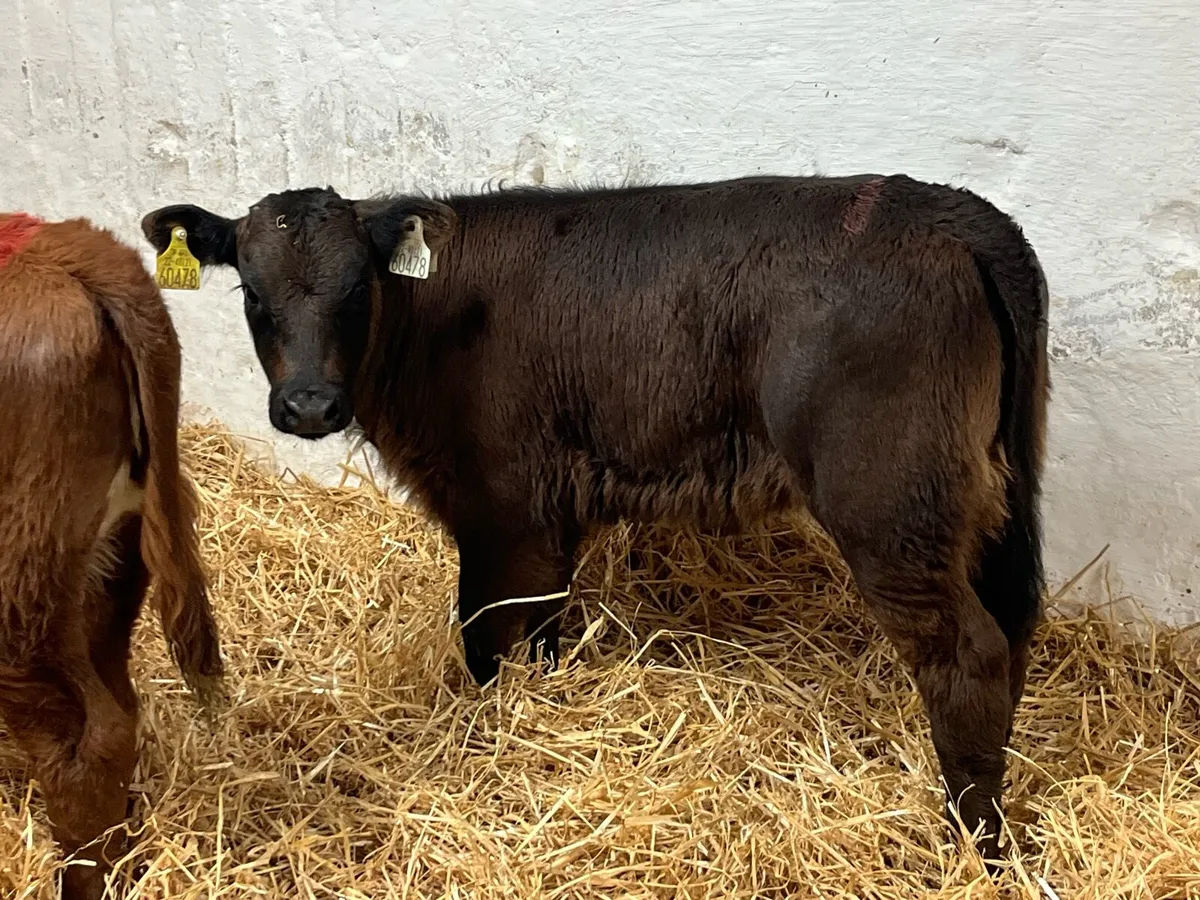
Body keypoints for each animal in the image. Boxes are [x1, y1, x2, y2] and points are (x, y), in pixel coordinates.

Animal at [142, 172, 1049, 867]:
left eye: (358, 290)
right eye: (253, 295)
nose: (308, 405)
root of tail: (950, 212)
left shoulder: (498, 506)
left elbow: (485, 636)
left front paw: (490, 743)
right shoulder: (547, 512)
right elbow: (545, 630)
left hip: (892, 508)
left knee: (968, 655)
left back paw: (973, 843)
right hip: (988, 500)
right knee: (1013, 628)